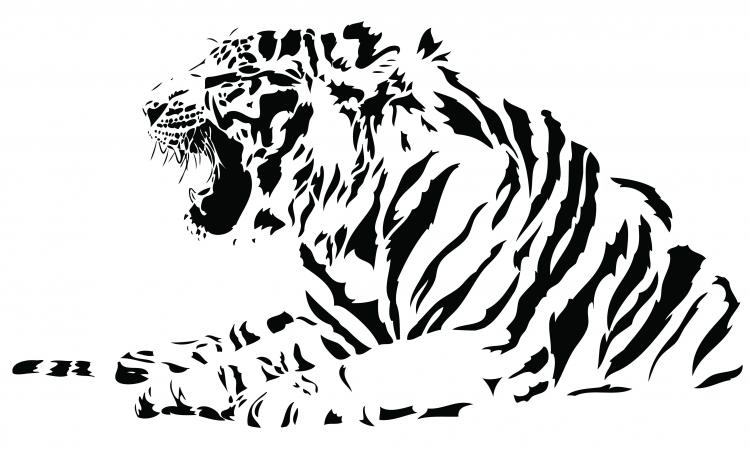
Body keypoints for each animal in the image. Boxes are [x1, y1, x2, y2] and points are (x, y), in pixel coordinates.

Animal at [12, 22, 743, 427]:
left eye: (235, 75)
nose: (146, 106)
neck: (353, 222)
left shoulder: (491, 342)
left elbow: (367, 369)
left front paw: (273, 401)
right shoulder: (340, 325)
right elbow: (250, 356)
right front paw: (181, 388)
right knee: (233, 333)